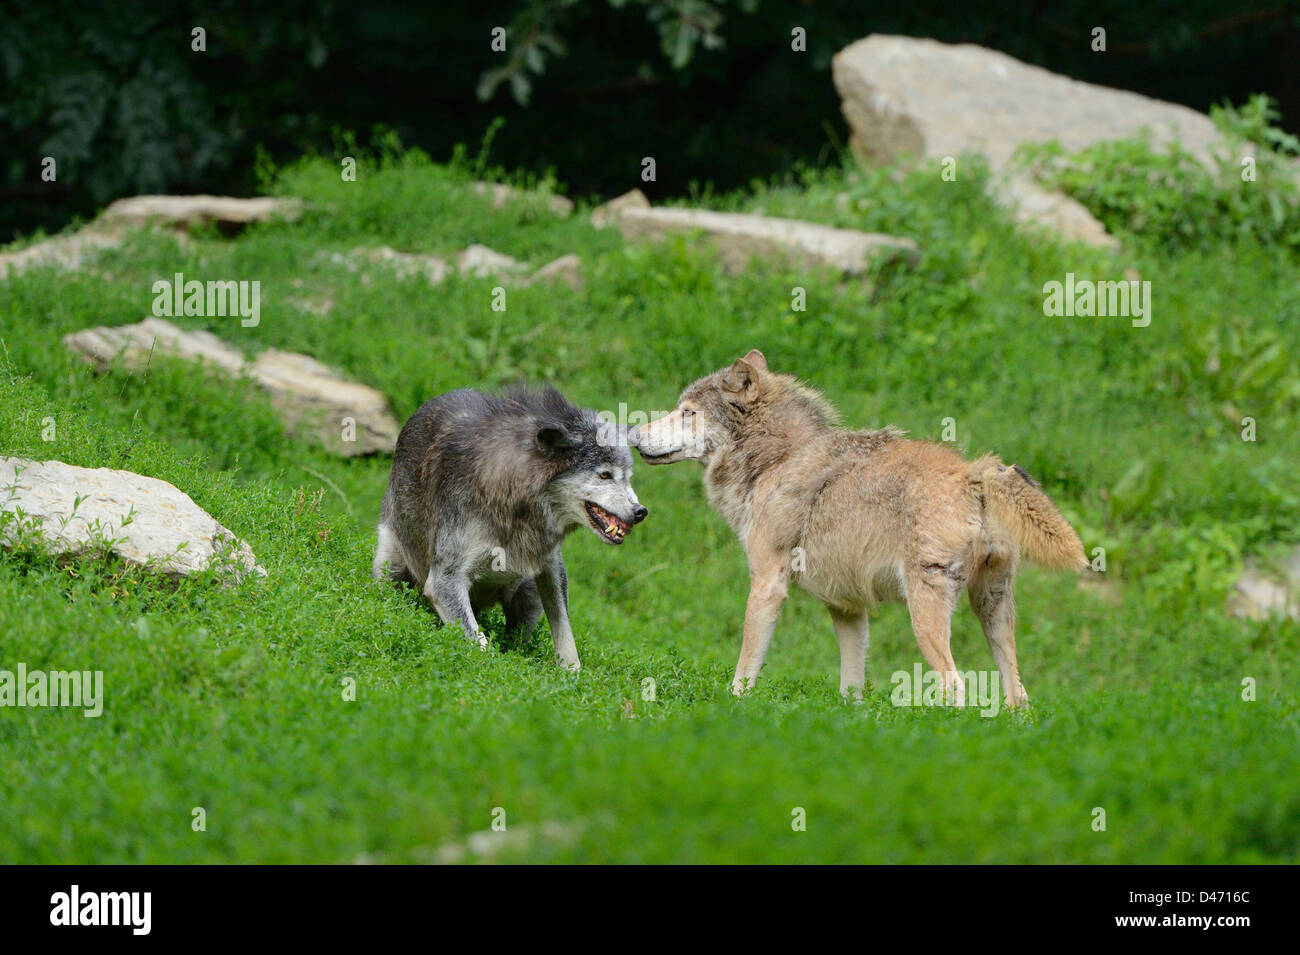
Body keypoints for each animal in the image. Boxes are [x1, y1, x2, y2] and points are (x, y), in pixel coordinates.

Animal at [377, 384, 644, 670]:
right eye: (604, 475)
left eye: (628, 477)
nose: (641, 512)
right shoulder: (444, 582)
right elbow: (482, 646)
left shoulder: (552, 566)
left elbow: (565, 635)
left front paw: (572, 676)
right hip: (388, 566)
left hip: (528, 591)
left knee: (518, 637)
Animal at [629, 348, 1086, 706]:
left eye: (688, 413)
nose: (632, 432)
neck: (774, 462)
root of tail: (974, 474)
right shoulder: (847, 607)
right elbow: (852, 687)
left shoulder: (767, 585)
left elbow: (745, 667)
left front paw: (734, 704)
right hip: (992, 609)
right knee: (1018, 696)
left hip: (925, 615)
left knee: (956, 688)